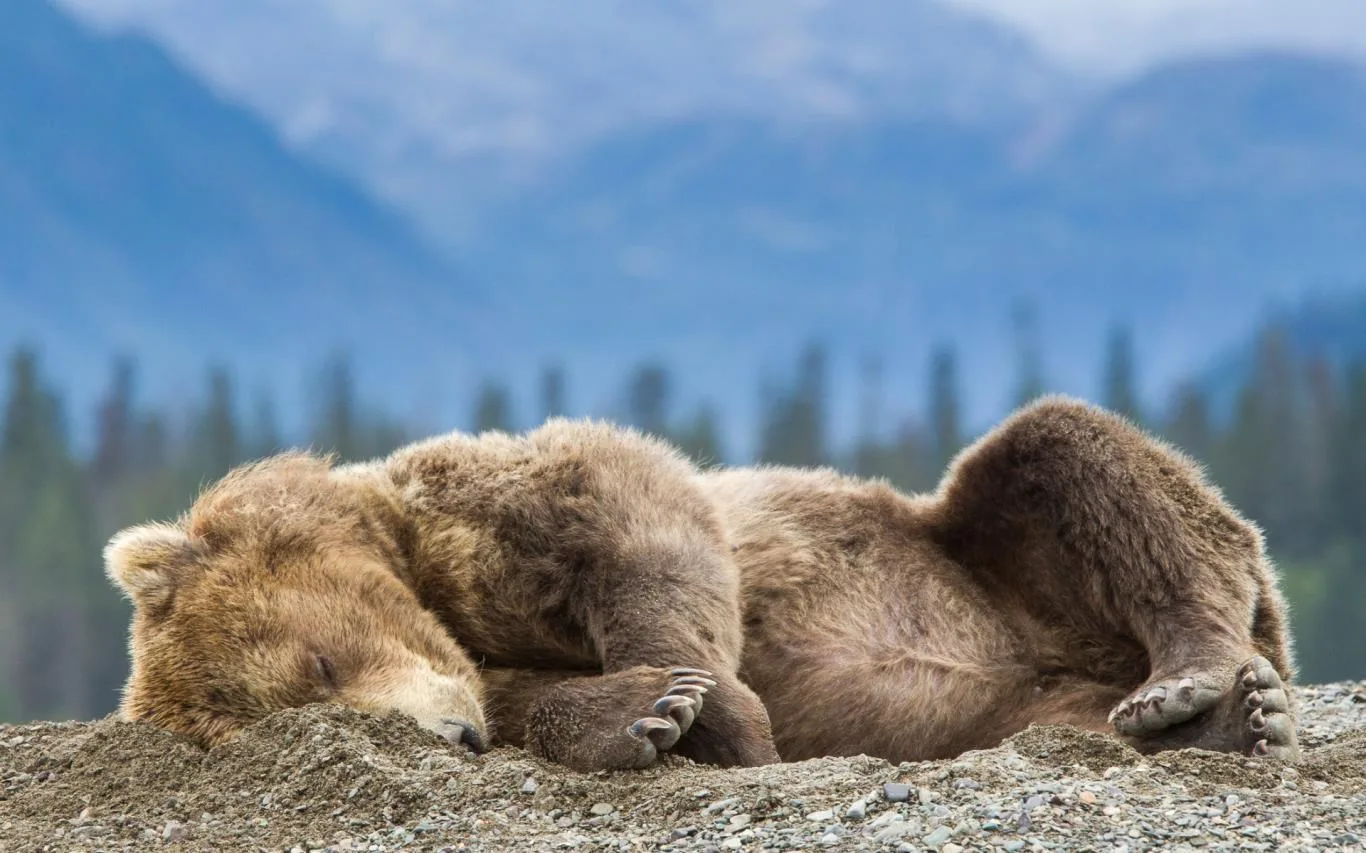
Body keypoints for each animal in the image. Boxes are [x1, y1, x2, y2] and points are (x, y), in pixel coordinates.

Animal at [105, 395, 1299, 773]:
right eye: (297, 711)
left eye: (317, 660)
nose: (449, 739)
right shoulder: (491, 667)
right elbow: (542, 699)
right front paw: (650, 717)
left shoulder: (467, 508)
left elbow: (630, 508)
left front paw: (697, 699)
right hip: (1008, 698)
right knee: (1053, 711)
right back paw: (1203, 722)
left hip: (985, 548)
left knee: (1072, 456)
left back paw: (1196, 678)